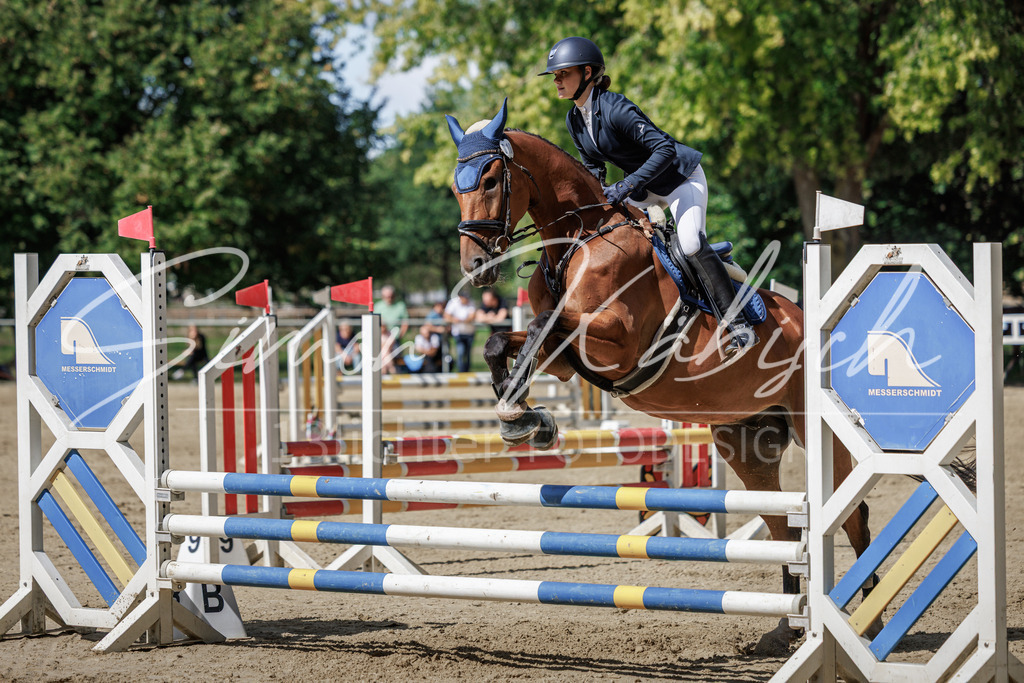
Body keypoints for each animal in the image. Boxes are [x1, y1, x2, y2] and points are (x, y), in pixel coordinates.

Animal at [445, 100, 875, 651]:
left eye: (491, 178)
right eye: (456, 187)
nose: (476, 266)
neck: (579, 238)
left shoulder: (617, 343)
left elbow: (542, 326)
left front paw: (520, 414)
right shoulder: (566, 361)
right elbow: (503, 343)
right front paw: (522, 416)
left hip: (815, 432)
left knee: (853, 519)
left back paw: (867, 627)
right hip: (745, 442)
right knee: (783, 527)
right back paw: (784, 630)